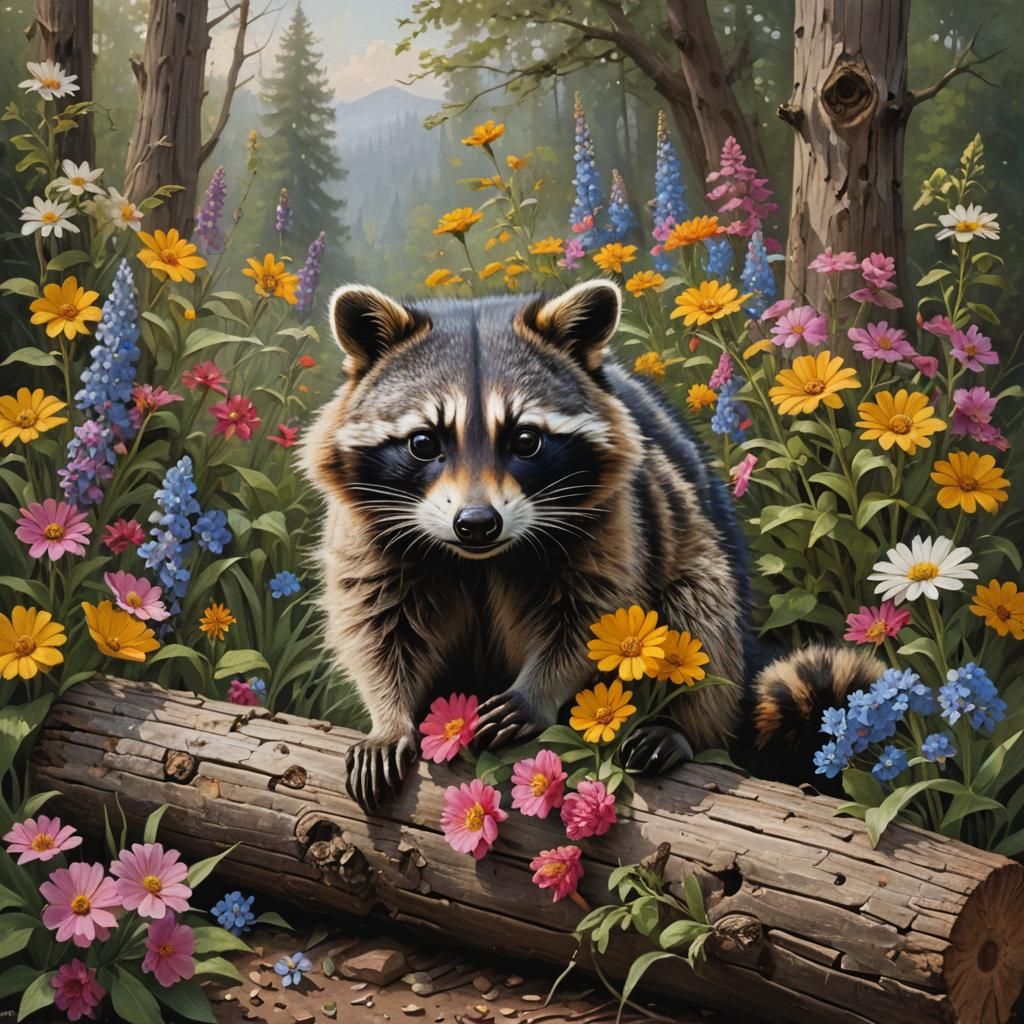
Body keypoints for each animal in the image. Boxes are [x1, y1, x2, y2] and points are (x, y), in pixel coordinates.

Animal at [301, 280, 881, 809]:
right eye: (423, 443)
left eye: (525, 440)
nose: (477, 523)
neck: (479, 558)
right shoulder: (367, 529)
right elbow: (374, 623)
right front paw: (389, 715)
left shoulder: (615, 516)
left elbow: (596, 616)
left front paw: (537, 691)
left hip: (698, 548)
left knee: (700, 613)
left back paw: (680, 726)